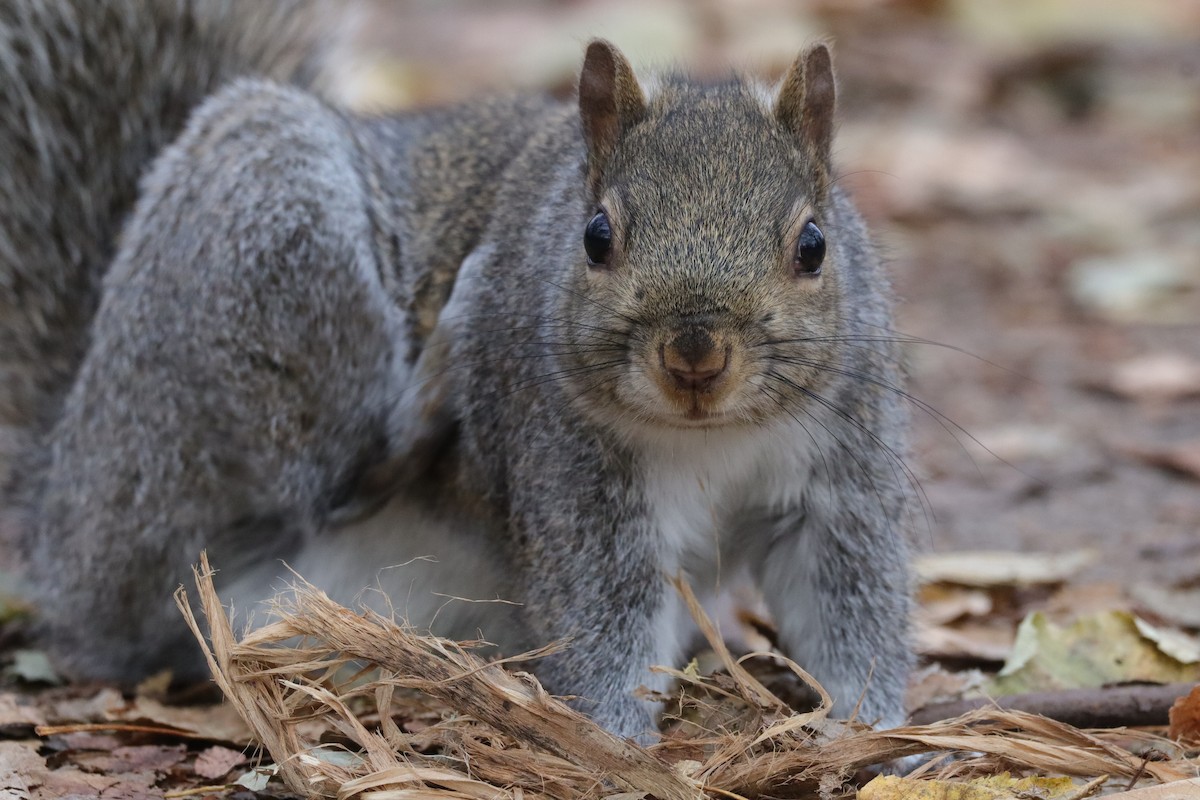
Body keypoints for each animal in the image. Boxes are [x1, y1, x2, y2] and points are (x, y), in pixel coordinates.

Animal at [2, 0, 914, 741]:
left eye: (813, 246)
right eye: (596, 236)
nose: (696, 356)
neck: (711, 437)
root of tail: (64, 485)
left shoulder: (839, 473)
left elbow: (849, 603)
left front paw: (872, 732)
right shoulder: (571, 477)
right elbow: (600, 618)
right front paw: (623, 749)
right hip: (260, 253)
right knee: (334, 480)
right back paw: (442, 354)